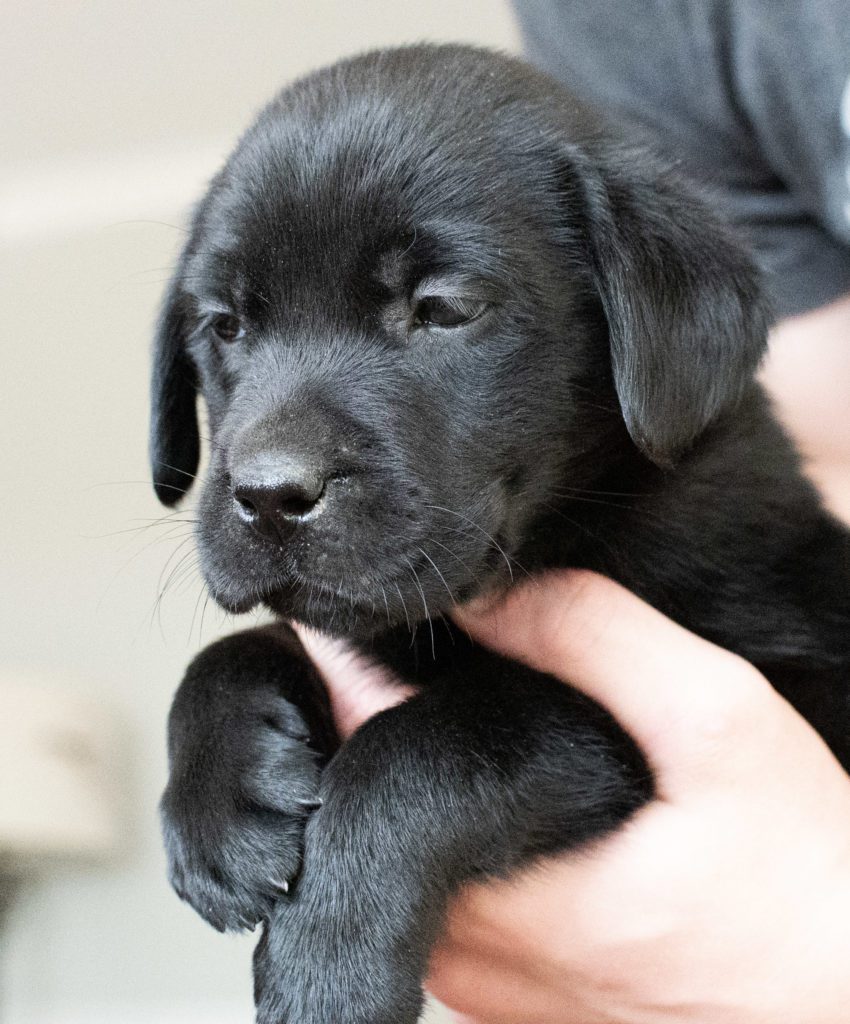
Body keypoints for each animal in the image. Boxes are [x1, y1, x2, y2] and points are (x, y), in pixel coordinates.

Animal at [149, 44, 850, 1024]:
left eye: (443, 309)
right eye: (225, 325)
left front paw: (328, 964)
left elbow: (441, 738)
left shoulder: (755, 676)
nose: (270, 495)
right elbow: (240, 647)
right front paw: (218, 801)